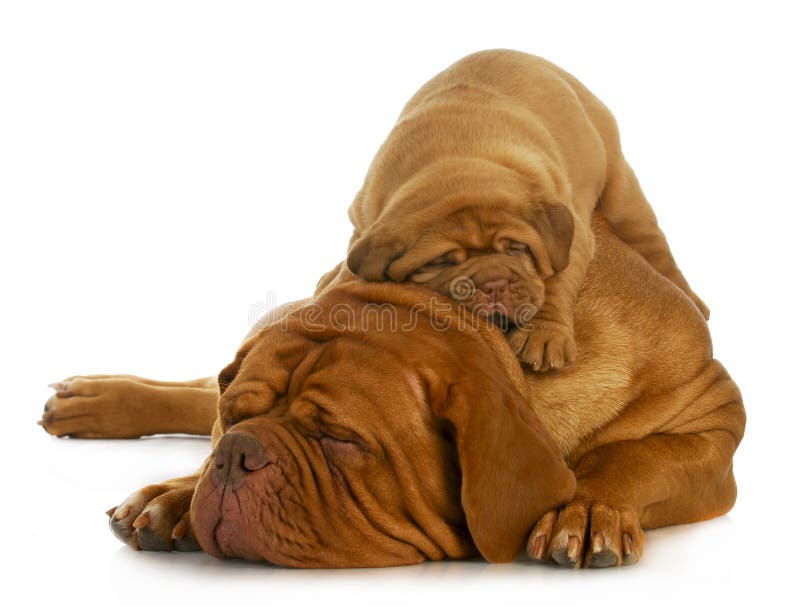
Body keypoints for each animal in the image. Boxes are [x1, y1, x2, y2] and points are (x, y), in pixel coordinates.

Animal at [40, 218, 744, 568]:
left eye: (339, 439)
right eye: (235, 419)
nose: (235, 452)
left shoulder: (714, 420)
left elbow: (636, 454)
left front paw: (590, 507)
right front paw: (177, 491)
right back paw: (100, 410)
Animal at [340, 50, 708, 370]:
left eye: (516, 249)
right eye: (442, 261)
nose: (494, 285)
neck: (457, 166)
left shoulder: (572, 232)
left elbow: (558, 279)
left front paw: (543, 334)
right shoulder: (362, 218)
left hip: (620, 191)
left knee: (654, 246)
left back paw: (694, 301)